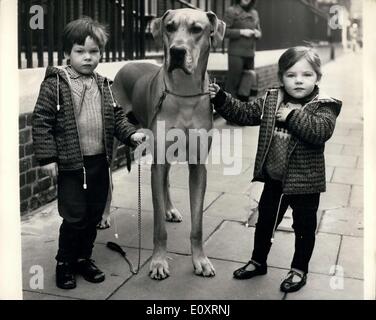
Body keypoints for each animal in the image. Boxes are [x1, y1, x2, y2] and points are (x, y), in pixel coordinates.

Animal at [111, 6, 223, 278]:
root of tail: (126, 64)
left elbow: (197, 225)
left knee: (166, 182)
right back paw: (104, 216)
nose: (177, 51)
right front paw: (159, 261)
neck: (184, 94)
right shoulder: (159, 161)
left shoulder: (198, 166)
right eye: (169, 27)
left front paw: (200, 260)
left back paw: (169, 209)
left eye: (197, 29)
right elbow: (158, 229)